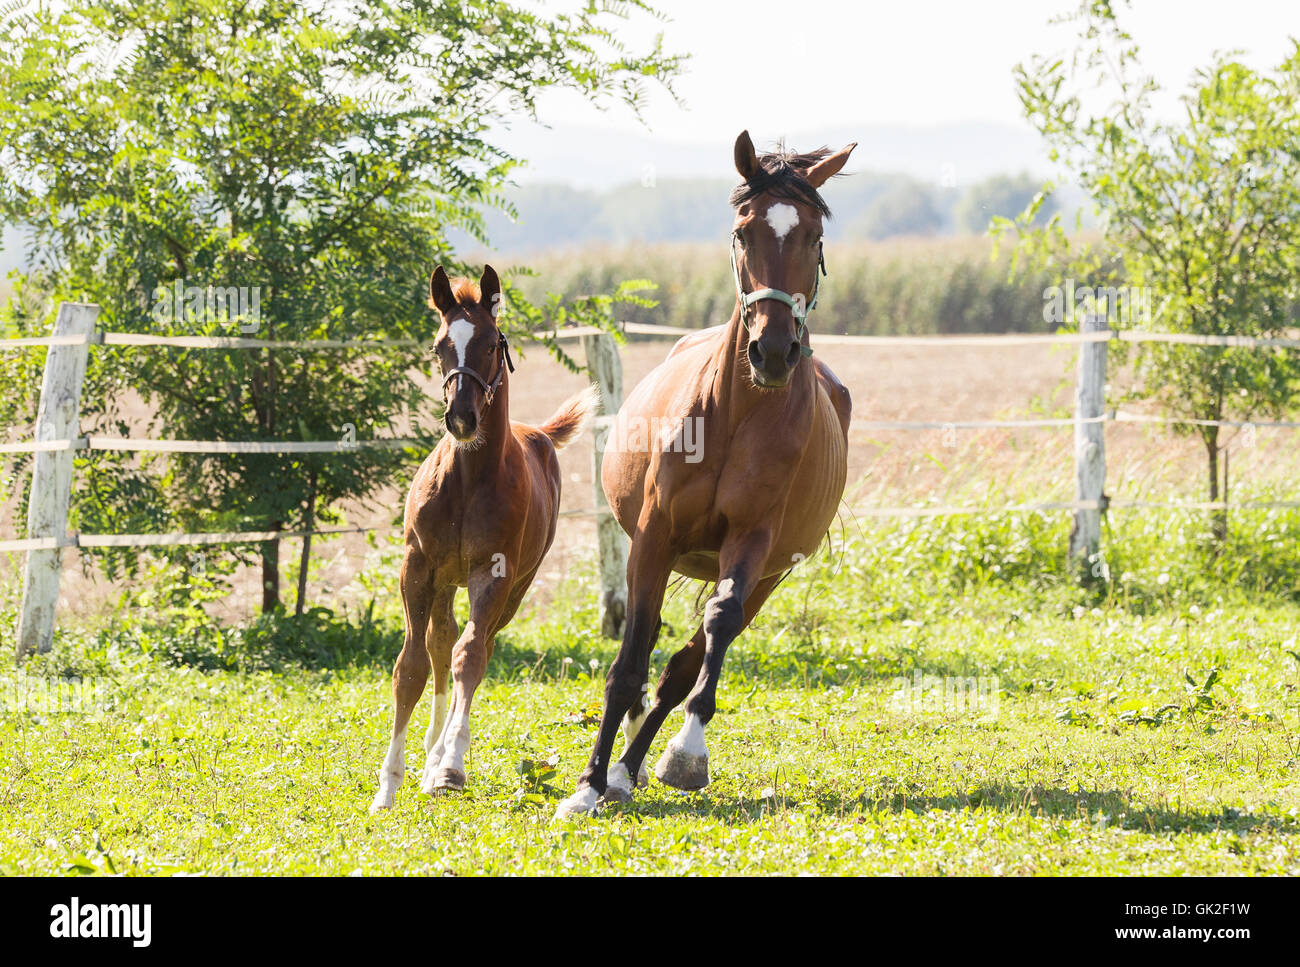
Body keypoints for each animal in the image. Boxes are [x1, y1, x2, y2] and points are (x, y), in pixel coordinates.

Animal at [369, 262, 595, 805]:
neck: (469, 479)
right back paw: (429, 753)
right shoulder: (417, 570)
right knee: (440, 644)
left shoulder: (492, 574)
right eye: (439, 347)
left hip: (512, 589)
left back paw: (441, 756)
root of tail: (540, 433)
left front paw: (449, 767)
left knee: (475, 647)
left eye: (492, 344)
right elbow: (410, 667)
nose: (461, 419)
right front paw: (388, 787)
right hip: (444, 584)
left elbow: (469, 658)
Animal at [556, 130, 852, 816]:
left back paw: (632, 767)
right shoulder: (653, 538)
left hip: (768, 577)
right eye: (744, 232)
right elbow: (628, 661)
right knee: (651, 653)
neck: (736, 414)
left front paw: (684, 754)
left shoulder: (752, 543)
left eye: (813, 238)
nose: (773, 353)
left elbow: (711, 631)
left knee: (689, 659)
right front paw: (586, 786)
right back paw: (615, 771)